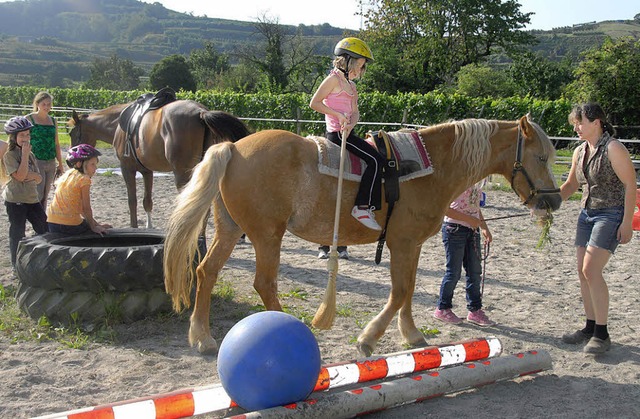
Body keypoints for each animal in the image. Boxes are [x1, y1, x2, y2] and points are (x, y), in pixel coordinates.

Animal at [69, 100, 249, 228]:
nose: (69, 161)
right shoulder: (147, 171)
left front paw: (134, 228)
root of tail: (201, 113)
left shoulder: (127, 169)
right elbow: (147, 201)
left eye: (71, 133)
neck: (118, 124)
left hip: (182, 174)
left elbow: (132, 201)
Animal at [164, 116, 560, 356]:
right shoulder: (401, 243)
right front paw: (369, 338)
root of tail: (233, 148)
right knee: (264, 283)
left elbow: (409, 290)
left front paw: (411, 335)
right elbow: (399, 292)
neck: (430, 168)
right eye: (541, 156)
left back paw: (202, 337)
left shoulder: (412, 245)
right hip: (266, 235)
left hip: (232, 229)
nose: (553, 200)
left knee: (206, 272)